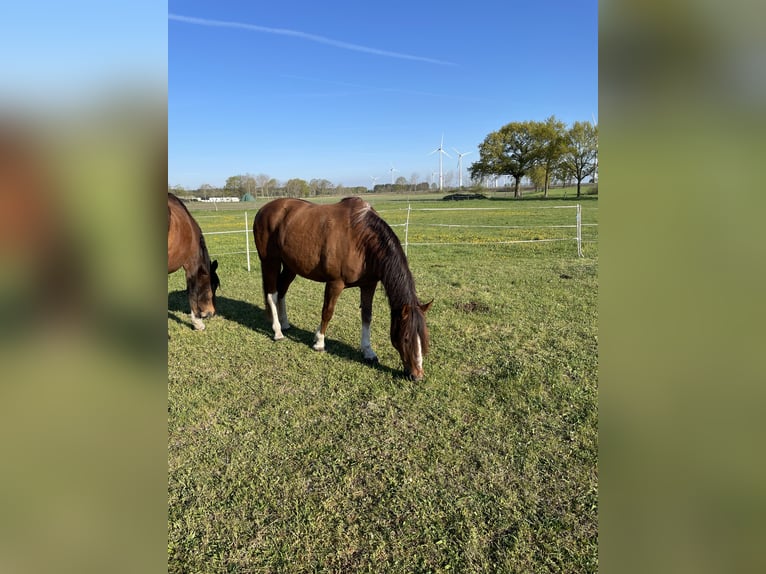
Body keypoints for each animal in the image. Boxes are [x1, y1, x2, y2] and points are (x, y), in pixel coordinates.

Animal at [256, 198, 432, 382]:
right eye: (406, 338)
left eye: (424, 338)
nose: (417, 375)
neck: (361, 240)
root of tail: (264, 209)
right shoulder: (335, 283)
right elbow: (327, 312)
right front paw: (319, 342)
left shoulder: (369, 285)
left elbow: (367, 316)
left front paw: (368, 351)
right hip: (270, 262)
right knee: (272, 294)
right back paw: (278, 331)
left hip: (291, 266)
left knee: (282, 291)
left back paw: (285, 324)